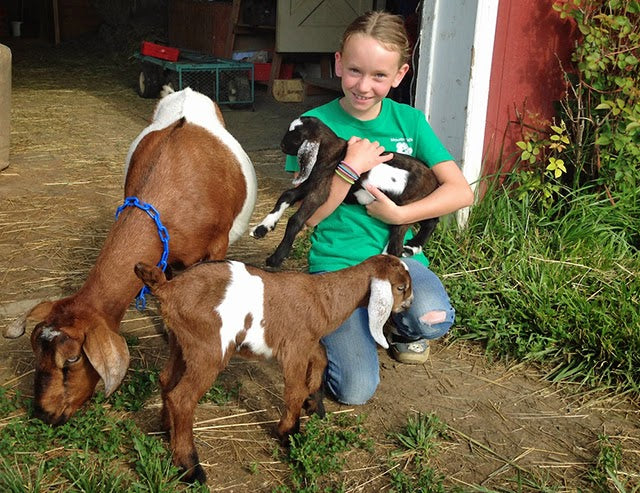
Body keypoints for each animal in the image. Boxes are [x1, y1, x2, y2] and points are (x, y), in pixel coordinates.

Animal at [135, 252, 416, 482]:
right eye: (401, 287)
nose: (410, 304)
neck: (324, 298)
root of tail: (168, 288)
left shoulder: (307, 341)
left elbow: (322, 358)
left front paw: (315, 402)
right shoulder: (294, 347)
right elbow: (294, 390)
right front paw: (289, 433)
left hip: (180, 342)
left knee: (166, 379)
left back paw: (167, 429)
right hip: (208, 348)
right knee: (182, 398)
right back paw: (190, 468)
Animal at [250, 116, 440, 268]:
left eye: (297, 139)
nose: (282, 145)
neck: (334, 154)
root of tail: (434, 180)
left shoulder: (320, 190)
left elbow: (296, 219)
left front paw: (276, 258)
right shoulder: (313, 182)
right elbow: (287, 195)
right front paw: (262, 228)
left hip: (403, 209)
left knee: (398, 243)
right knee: (430, 221)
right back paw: (412, 247)